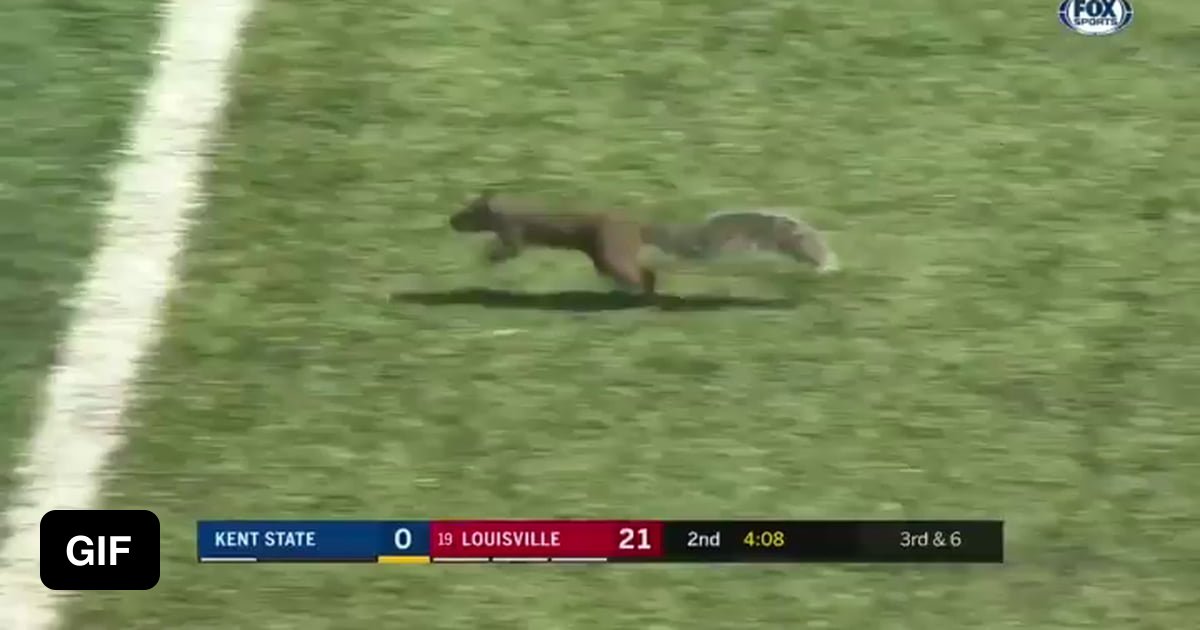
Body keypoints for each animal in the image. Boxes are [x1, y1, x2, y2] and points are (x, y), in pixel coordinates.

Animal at [448, 190, 839, 295]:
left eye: (467, 214)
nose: (450, 222)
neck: (510, 206)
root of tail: (638, 227)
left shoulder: (514, 231)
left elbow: (509, 248)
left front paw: (488, 257)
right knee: (646, 275)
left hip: (610, 252)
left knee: (638, 275)